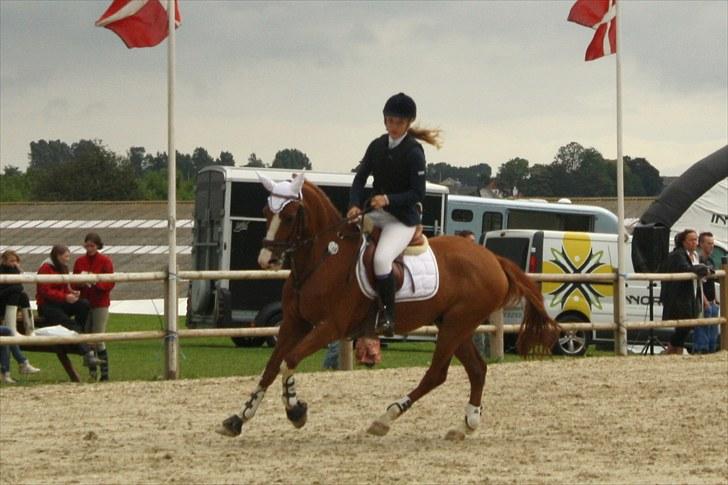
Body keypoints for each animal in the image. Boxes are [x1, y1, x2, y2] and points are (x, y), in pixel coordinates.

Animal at [219, 174, 560, 438]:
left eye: (289, 217)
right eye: (266, 212)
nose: (266, 260)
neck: (322, 260)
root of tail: (493, 259)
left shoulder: (330, 327)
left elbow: (289, 361)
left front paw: (295, 410)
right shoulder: (294, 323)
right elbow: (272, 366)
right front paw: (238, 419)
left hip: (456, 326)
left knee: (436, 374)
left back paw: (385, 418)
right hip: (455, 326)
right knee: (477, 369)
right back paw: (465, 426)